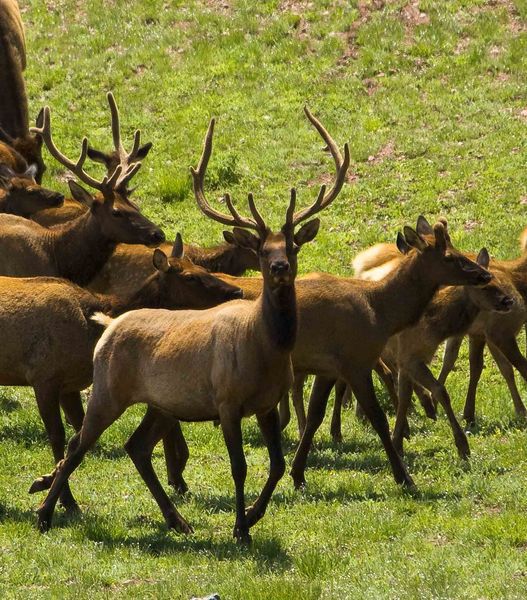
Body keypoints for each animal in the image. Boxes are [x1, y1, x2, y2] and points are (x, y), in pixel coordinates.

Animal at [32, 109, 346, 544]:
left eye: (292, 247)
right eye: (262, 250)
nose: (280, 267)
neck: (266, 348)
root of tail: (108, 326)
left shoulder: (266, 403)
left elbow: (278, 465)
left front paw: (251, 515)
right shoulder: (227, 401)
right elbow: (239, 467)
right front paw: (240, 528)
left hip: (160, 403)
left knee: (135, 446)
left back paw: (176, 520)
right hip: (108, 390)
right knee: (79, 444)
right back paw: (45, 514)